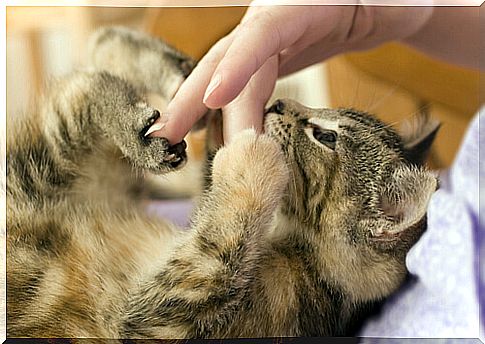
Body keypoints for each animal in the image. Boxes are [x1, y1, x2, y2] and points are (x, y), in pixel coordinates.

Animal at [6, 26, 438, 338]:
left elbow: (220, 242)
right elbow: (210, 192)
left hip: (44, 170)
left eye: (325, 136)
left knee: (84, 91)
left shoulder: (158, 317)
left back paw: (138, 125)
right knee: (90, 84)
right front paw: (217, 112)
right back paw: (171, 74)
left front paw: (253, 160)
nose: (278, 102)